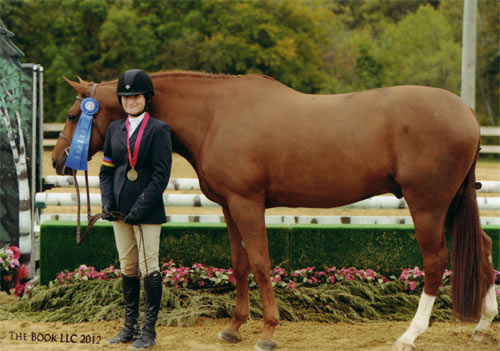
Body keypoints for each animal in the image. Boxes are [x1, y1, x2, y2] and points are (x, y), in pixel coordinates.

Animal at [52, 72, 498, 351]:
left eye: (75, 115)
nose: (58, 161)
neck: (216, 115)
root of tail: (467, 112)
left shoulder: (248, 203)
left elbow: (263, 263)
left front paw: (267, 331)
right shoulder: (230, 206)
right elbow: (240, 265)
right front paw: (233, 328)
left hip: (427, 205)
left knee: (436, 260)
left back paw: (410, 334)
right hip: (453, 204)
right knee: (483, 247)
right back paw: (482, 325)